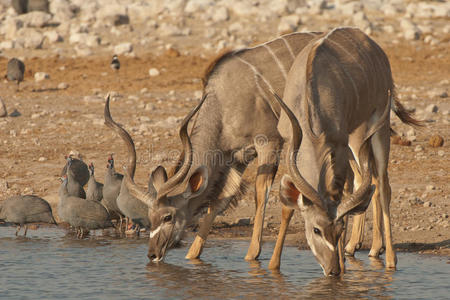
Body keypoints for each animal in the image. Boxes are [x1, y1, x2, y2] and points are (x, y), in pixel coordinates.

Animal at [268, 27, 418, 274]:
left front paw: (342, 263)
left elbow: (343, 193)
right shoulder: (290, 141)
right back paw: (367, 248)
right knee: (365, 180)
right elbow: (288, 207)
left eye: (338, 230)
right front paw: (272, 265)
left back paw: (389, 260)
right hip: (355, 144)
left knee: (382, 185)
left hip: (375, 129)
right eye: (316, 229)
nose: (332, 270)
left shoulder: (339, 143)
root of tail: (373, 45)